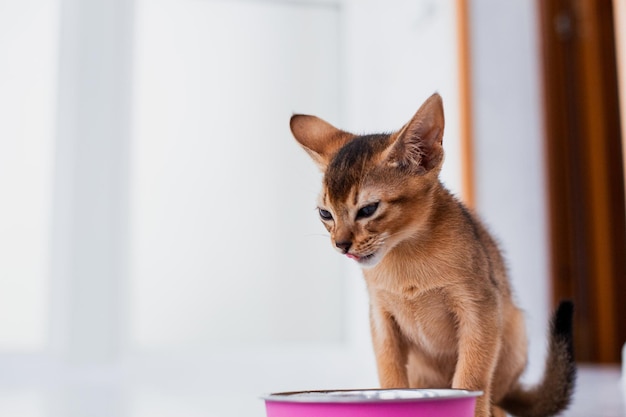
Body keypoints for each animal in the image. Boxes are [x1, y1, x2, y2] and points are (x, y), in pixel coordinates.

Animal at [290, 94, 572, 416]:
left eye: (368, 209)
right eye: (325, 213)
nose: (341, 244)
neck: (405, 257)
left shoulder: (479, 309)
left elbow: (471, 378)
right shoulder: (381, 319)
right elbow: (390, 379)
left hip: (514, 327)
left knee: (496, 397)